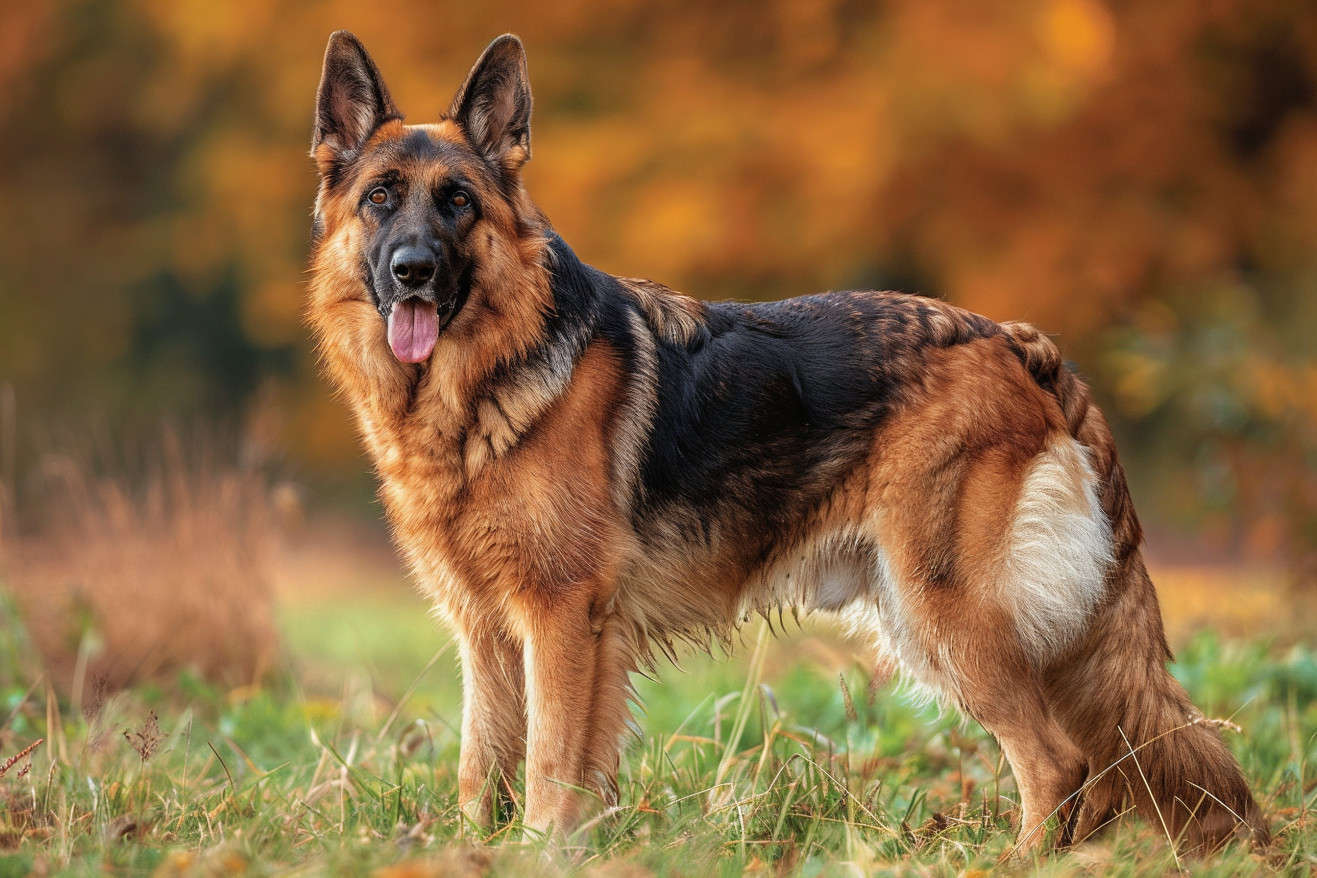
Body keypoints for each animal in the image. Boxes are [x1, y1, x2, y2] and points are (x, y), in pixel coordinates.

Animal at [305, 32, 1264, 852]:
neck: (479, 389)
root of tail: (1012, 340)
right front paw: (479, 852)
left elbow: (548, 768)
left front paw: (542, 853)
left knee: (1059, 763)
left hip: (945, 614)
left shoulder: (561, 622)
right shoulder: (489, 636)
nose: (413, 272)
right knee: (1089, 771)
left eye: (458, 202)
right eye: (380, 197)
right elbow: (483, 771)